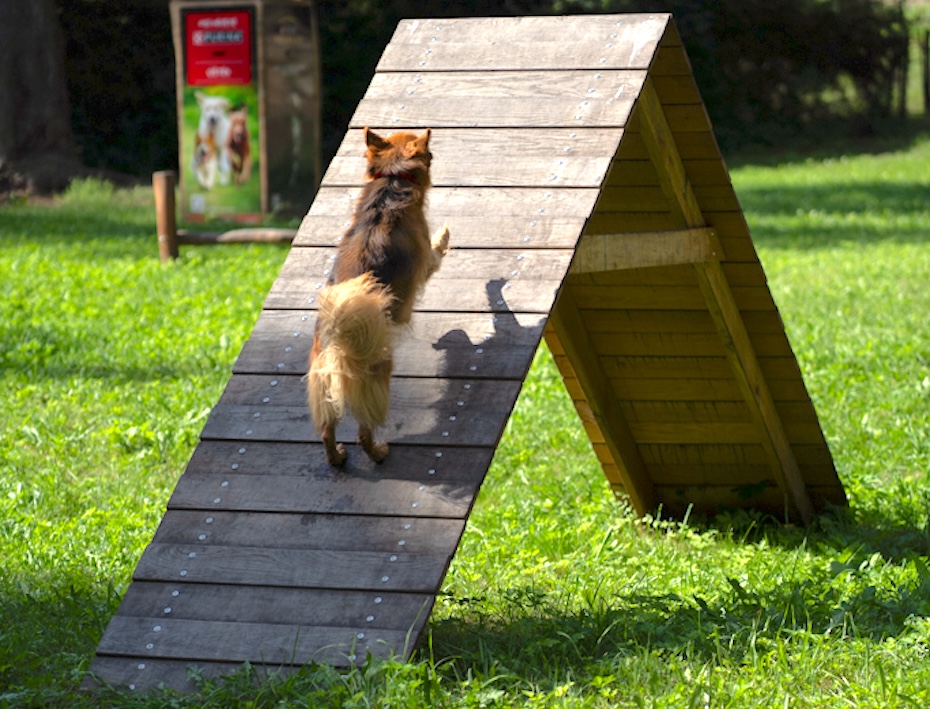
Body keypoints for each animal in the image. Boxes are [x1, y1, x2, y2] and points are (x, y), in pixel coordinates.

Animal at [306, 129, 448, 464]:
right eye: (431, 154)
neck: (392, 179)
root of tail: (337, 339)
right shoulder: (423, 263)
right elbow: (435, 249)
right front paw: (445, 235)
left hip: (323, 386)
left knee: (327, 430)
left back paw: (337, 458)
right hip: (377, 376)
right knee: (363, 430)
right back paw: (378, 453)